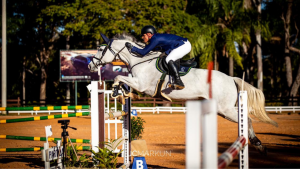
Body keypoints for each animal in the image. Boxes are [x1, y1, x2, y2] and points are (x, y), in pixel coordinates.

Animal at [89, 32, 278, 154]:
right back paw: (256, 143)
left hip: (226, 109)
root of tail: (231, 78)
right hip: (222, 110)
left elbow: (119, 76)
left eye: (100, 49)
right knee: (245, 119)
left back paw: (258, 144)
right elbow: (122, 79)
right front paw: (120, 92)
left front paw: (115, 90)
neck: (141, 60)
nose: (91, 65)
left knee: (248, 119)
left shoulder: (142, 85)